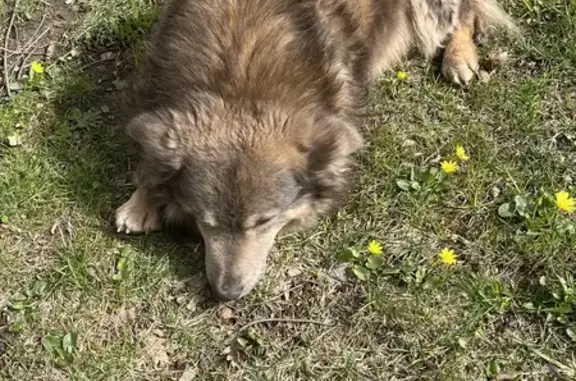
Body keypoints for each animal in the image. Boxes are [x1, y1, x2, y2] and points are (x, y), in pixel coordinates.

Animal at [115, 0, 516, 300]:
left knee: (464, 15)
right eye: (205, 222)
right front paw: (141, 201)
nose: (227, 294)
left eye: (264, 222)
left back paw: (459, 57)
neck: (240, 84)